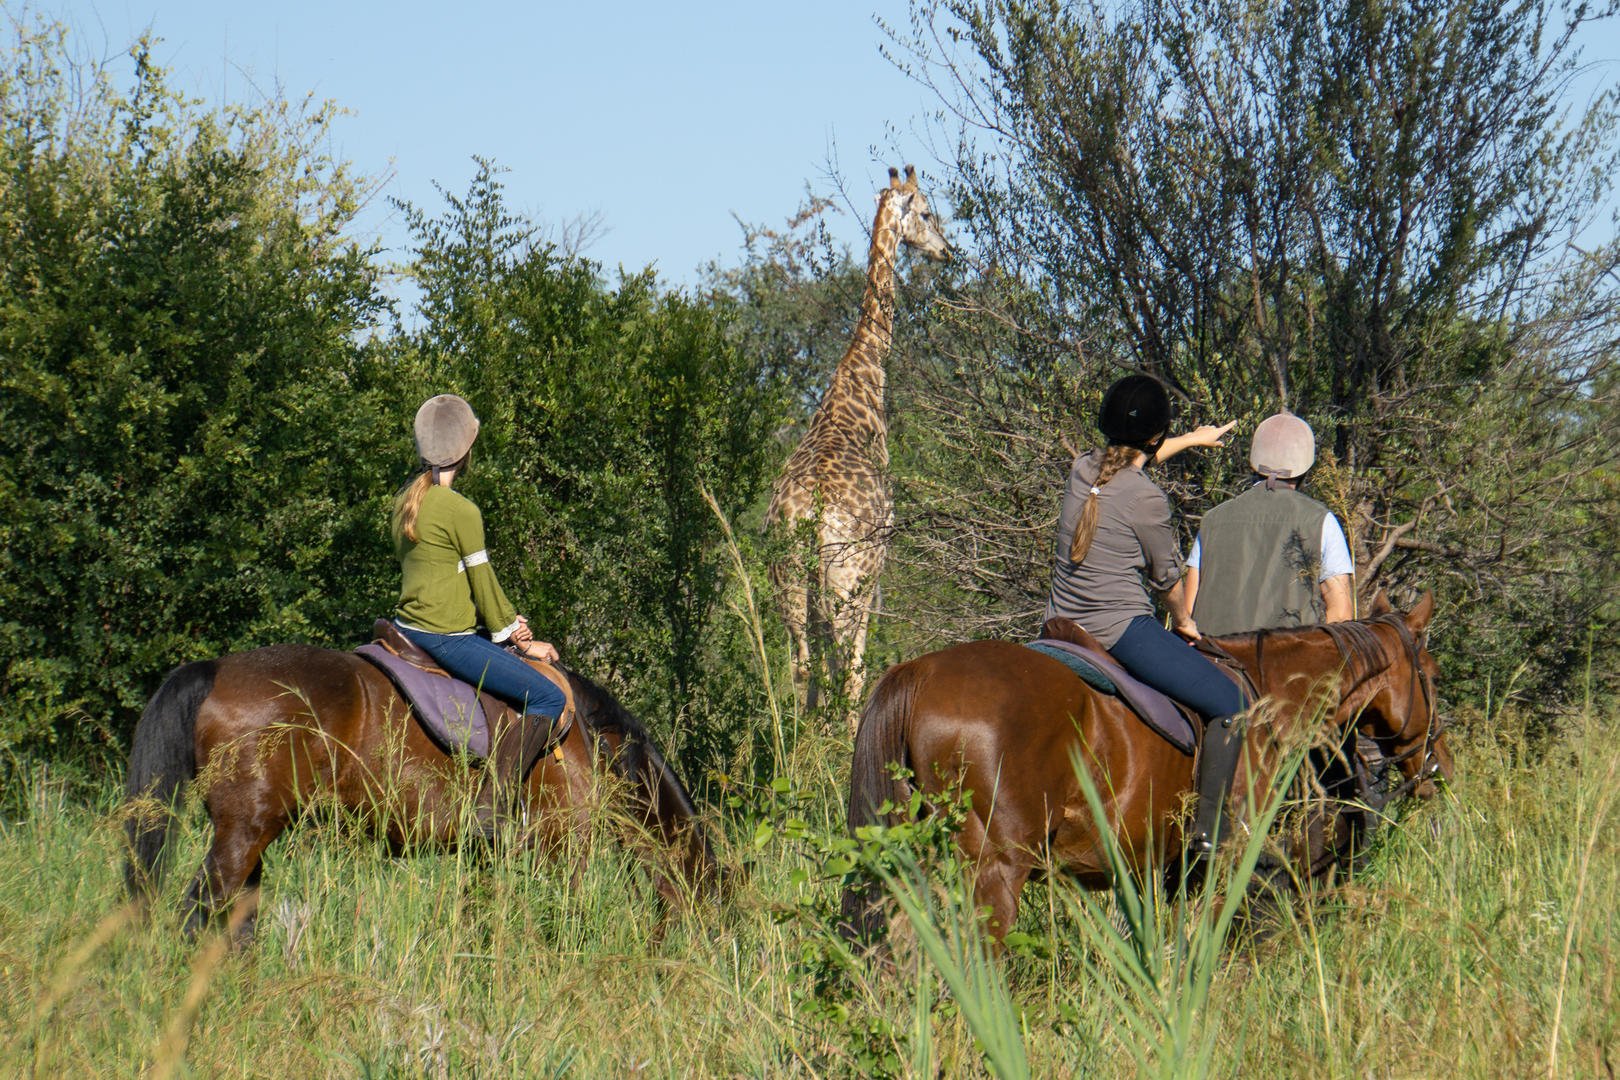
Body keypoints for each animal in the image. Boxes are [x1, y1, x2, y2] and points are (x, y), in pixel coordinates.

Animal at [119, 641, 716, 939]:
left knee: (236, 926)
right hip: (242, 835)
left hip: (250, 838)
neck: (590, 739)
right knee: (195, 916)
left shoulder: (486, 857)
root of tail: (216, 669)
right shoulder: (561, 847)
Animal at [761, 165, 946, 735]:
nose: (947, 251)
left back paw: (801, 742)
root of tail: (810, 517)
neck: (863, 377)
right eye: (926, 212)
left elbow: (819, 665)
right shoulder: (878, 566)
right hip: (846, 579)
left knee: (802, 662)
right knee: (849, 661)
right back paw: (844, 738)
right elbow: (857, 659)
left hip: (789, 579)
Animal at [842, 592, 1451, 939]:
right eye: (1433, 675)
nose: (1438, 771)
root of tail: (918, 672)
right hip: (996, 872)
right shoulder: (1232, 863)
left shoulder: (1156, 872)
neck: (1273, 693)